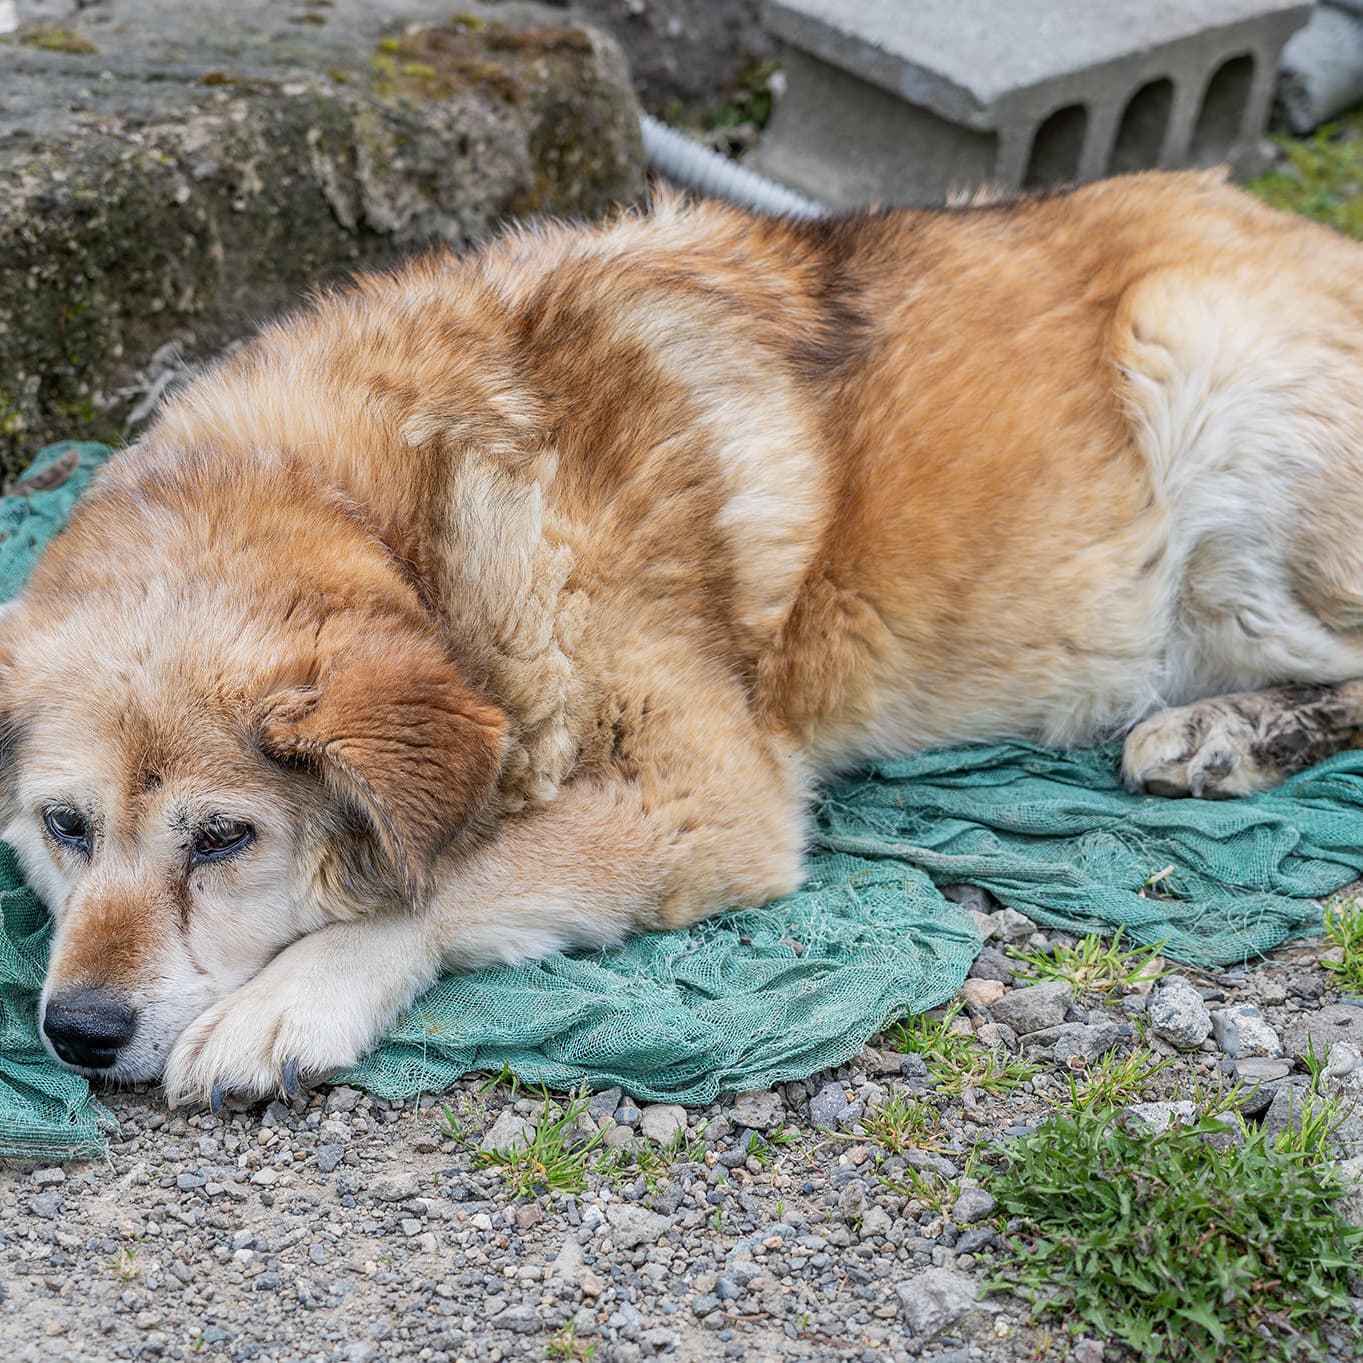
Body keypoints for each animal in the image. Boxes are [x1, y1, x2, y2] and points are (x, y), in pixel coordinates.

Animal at [10, 173, 1363, 1106]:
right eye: (62, 827)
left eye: (223, 839)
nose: (76, 1030)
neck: (407, 517)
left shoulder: (705, 798)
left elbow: (451, 877)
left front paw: (290, 998)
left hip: (1204, 366)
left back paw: (1219, 734)